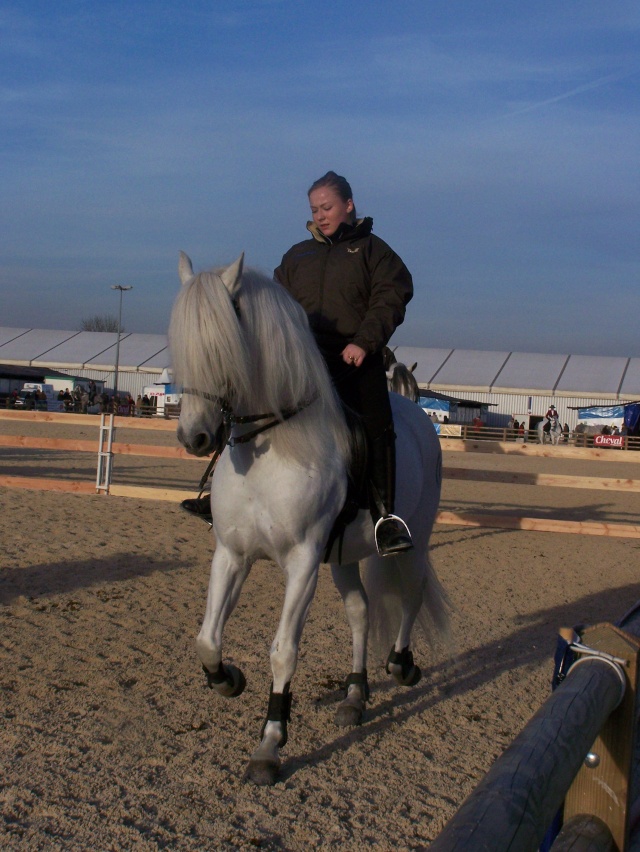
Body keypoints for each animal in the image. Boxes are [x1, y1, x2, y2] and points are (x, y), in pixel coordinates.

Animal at [170, 253, 450, 784]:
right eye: (181, 344)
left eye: (222, 345)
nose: (195, 438)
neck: (272, 446)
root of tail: (417, 415)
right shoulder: (232, 554)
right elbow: (206, 640)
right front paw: (228, 679)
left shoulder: (301, 564)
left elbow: (283, 651)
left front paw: (269, 745)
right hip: (342, 557)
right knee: (360, 611)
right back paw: (355, 697)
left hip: (414, 543)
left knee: (411, 595)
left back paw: (401, 665)